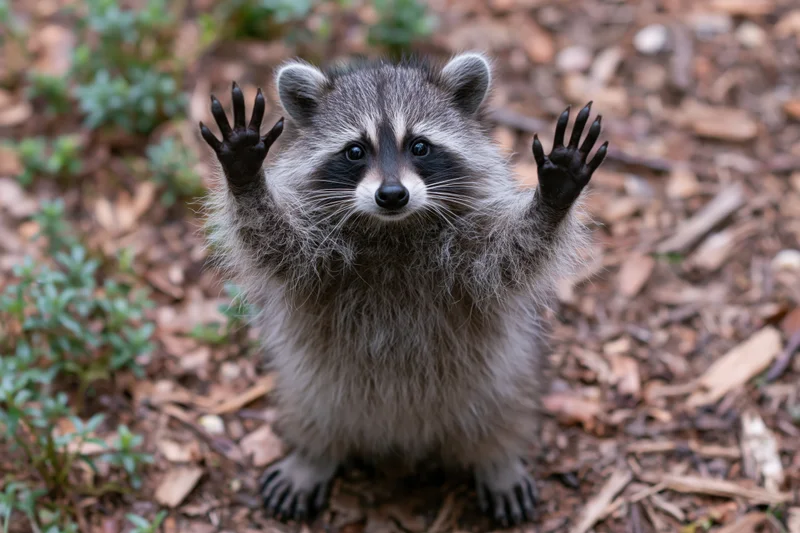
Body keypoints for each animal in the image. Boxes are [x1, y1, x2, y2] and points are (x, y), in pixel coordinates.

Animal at [198, 52, 607, 527]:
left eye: (420, 146)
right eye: (355, 151)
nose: (392, 194)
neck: (394, 228)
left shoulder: (470, 259)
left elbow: (513, 256)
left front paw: (553, 198)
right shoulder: (318, 260)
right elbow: (273, 243)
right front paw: (246, 178)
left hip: (507, 373)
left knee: (503, 411)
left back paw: (498, 461)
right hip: (310, 382)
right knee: (313, 410)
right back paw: (312, 455)